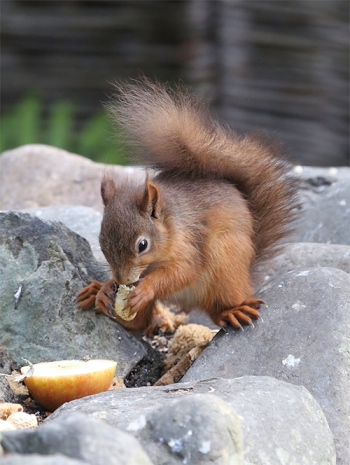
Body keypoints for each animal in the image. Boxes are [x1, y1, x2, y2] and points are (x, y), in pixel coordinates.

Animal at [78, 80, 300, 334]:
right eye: (101, 243)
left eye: (142, 245)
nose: (123, 281)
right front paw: (106, 287)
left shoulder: (190, 243)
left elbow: (183, 271)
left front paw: (145, 288)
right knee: (136, 324)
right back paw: (97, 294)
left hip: (227, 263)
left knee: (218, 308)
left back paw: (233, 311)